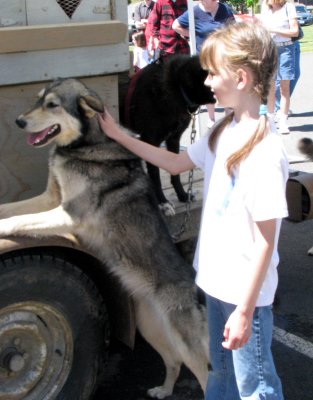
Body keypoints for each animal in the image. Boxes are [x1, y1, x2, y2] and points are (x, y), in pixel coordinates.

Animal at [0, 79, 210, 400]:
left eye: (52, 105)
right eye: (37, 100)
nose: (19, 121)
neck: (85, 145)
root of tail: (194, 286)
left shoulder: (69, 214)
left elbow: (18, 221)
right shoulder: (49, 199)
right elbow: (11, 209)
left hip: (190, 347)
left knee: (207, 377)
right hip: (151, 329)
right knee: (173, 363)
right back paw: (163, 390)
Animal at [122, 56, 214, 216]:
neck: (178, 86)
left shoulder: (173, 139)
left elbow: (175, 173)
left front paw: (183, 195)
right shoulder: (150, 142)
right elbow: (155, 177)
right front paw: (162, 203)